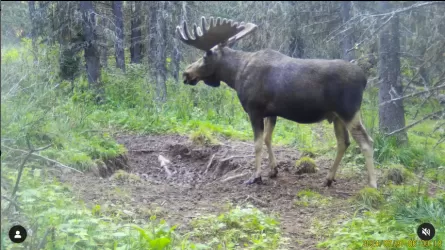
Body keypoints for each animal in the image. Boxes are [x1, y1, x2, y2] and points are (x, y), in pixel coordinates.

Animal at [175, 16, 376, 188]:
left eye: (205, 56)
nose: (186, 73)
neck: (236, 75)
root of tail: (364, 80)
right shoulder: (271, 112)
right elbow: (267, 138)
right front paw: (273, 170)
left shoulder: (254, 109)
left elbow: (257, 143)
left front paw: (256, 176)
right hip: (336, 116)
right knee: (344, 143)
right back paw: (328, 179)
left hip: (348, 111)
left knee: (366, 141)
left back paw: (372, 185)